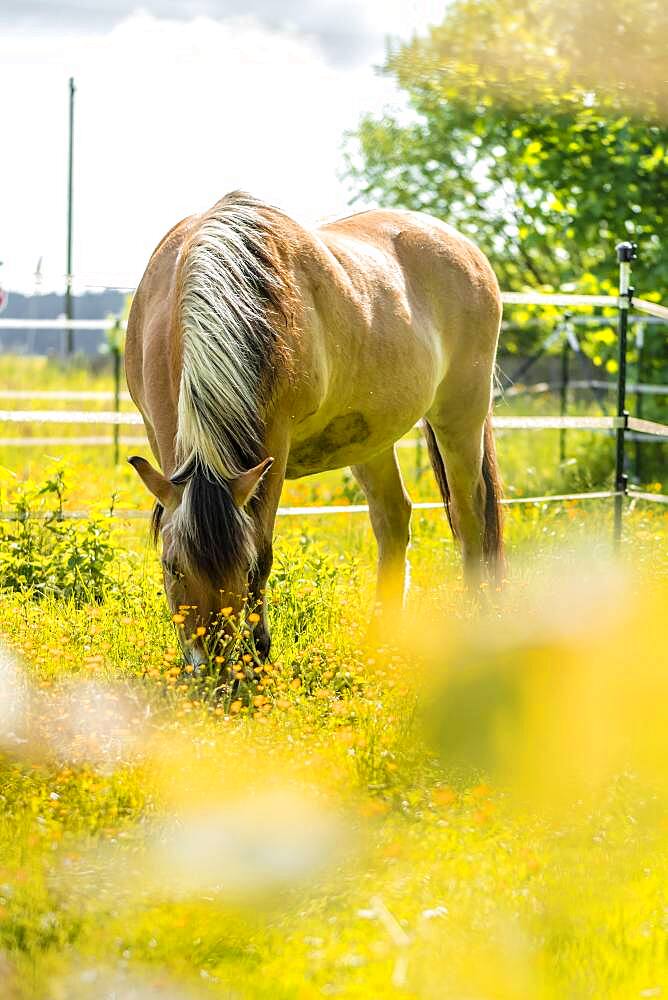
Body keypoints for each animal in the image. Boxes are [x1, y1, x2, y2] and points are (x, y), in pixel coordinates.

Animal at [125, 192, 504, 668]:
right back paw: (379, 638)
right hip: (369, 439)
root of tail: (464, 247)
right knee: (394, 519)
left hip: (460, 414)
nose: (210, 662)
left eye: (240, 566)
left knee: (470, 515)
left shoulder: (274, 445)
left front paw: (258, 655)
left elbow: (264, 549)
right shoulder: (160, 437)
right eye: (172, 566)